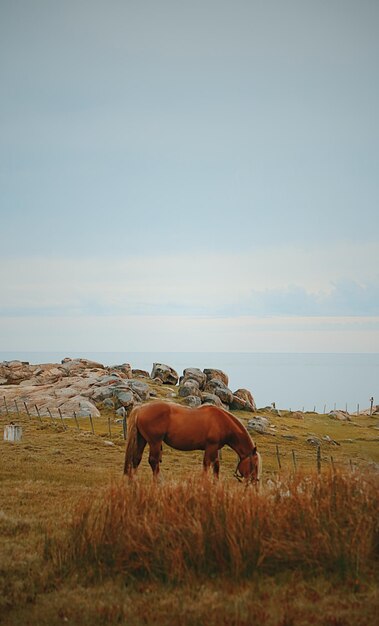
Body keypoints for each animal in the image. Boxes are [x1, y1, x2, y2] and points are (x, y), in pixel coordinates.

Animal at [124, 400, 262, 482]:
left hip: (142, 440)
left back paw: (134, 481)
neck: (222, 422)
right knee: (153, 461)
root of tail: (141, 408)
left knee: (136, 459)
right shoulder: (211, 447)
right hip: (155, 442)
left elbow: (216, 466)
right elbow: (207, 464)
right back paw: (159, 481)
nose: (254, 482)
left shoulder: (215, 448)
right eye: (254, 465)